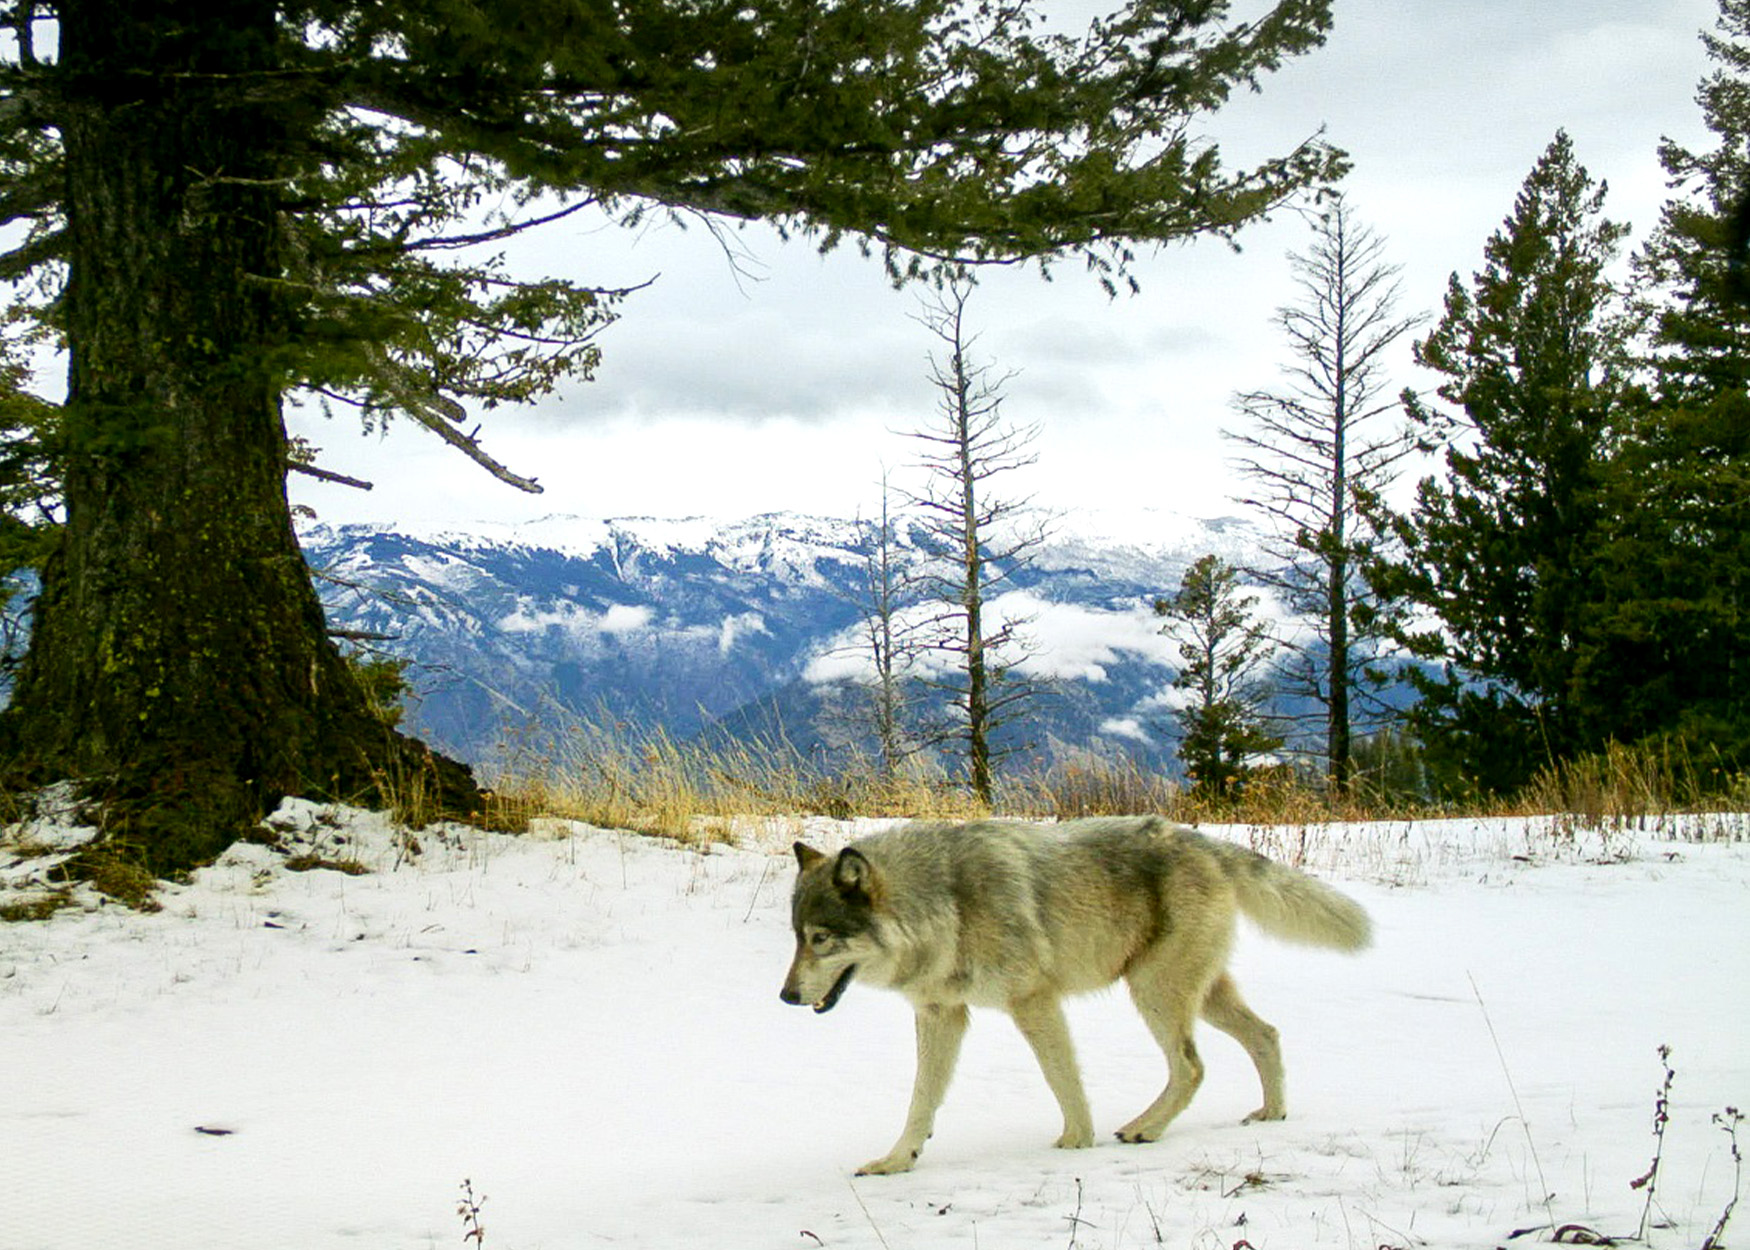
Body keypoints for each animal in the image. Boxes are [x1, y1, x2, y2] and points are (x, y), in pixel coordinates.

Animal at [777, 812, 1365, 1176]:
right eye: (796, 937)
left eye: (821, 939)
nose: (784, 996)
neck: (947, 905)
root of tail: (1203, 842)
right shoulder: (942, 1014)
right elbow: (920, 1101)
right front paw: (897, 1161)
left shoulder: (1033, 1002)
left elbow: (1062, 1079)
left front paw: (1076, 1143)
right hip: (1199, 995)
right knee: (1266, 1034)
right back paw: (1271, 1113)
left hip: (1154, 992)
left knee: (1192, 1066)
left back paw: (1145, 1129)